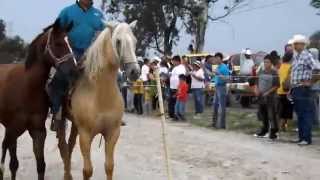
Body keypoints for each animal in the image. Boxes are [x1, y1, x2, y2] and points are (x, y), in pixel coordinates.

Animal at [0, 18, 76, 180]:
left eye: (71, 43)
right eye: (58, 43)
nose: (75, 70)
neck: (27, 88)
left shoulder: (38, 132)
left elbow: (41, 166)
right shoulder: (12, 129)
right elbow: (12, 163)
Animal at [58, 20, 141, 179]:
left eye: (135, 41)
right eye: (118, 41)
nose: (135, 71)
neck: (101, 96)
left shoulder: (113, 133)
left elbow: (109, 166)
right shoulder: (85, 135)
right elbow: (87, 170)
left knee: (69, 146)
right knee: (63, 146)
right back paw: (66, 174)